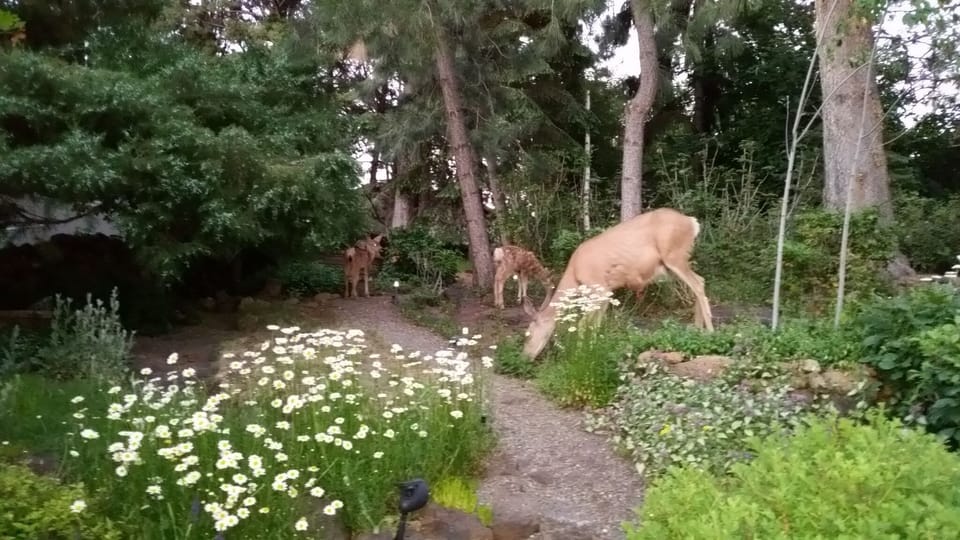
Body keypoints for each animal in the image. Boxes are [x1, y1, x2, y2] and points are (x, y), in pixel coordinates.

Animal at [520, 208, 714, 360]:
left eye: (528, 335)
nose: (525, 357)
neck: (575, 276)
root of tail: (692, 222)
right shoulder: (606, 293)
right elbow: (595, 324)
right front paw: (591, 350)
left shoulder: (600, 287)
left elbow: (584, 324)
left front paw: (580, 355)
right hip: (670, 266)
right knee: (700, 281)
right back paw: (697, 330)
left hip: (674, 256)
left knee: (697, 284)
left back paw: (710, 332)